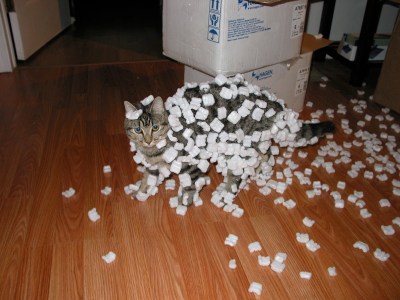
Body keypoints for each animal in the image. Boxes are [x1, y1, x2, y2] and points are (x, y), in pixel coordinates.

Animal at [122, 74, 334, 210]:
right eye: (138, 130)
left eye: (155, 127)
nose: (148, 140)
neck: (154, 151)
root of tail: (271, 101)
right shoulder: (152, 166)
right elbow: (146, 180)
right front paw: (140, 192)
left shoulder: (191, 164)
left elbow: (191, 185)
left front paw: (184, 202)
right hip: (251, 143)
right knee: (265, 152)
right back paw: (260, 170)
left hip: (237, 149)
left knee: (237, 175)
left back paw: (225, 195)